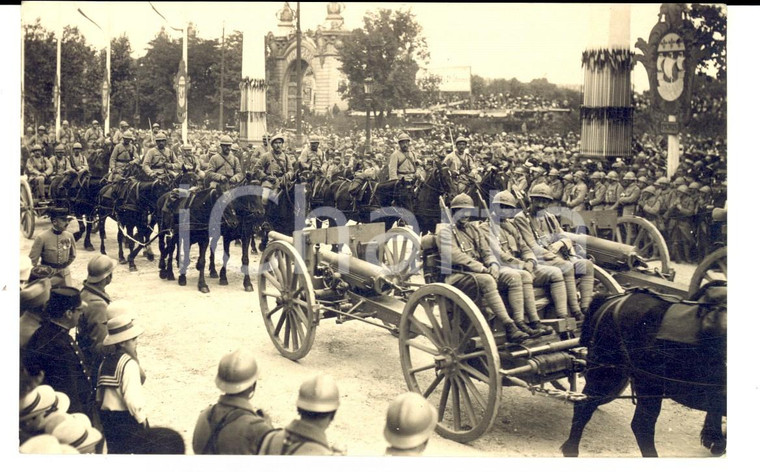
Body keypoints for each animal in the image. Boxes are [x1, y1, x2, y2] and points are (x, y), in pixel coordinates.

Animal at [560, 280, 728, 458]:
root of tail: (613, 300)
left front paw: (715, 440)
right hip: (608, 375)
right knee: (586, 407)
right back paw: (571, 449)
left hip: (645, 382)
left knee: (640, 424)